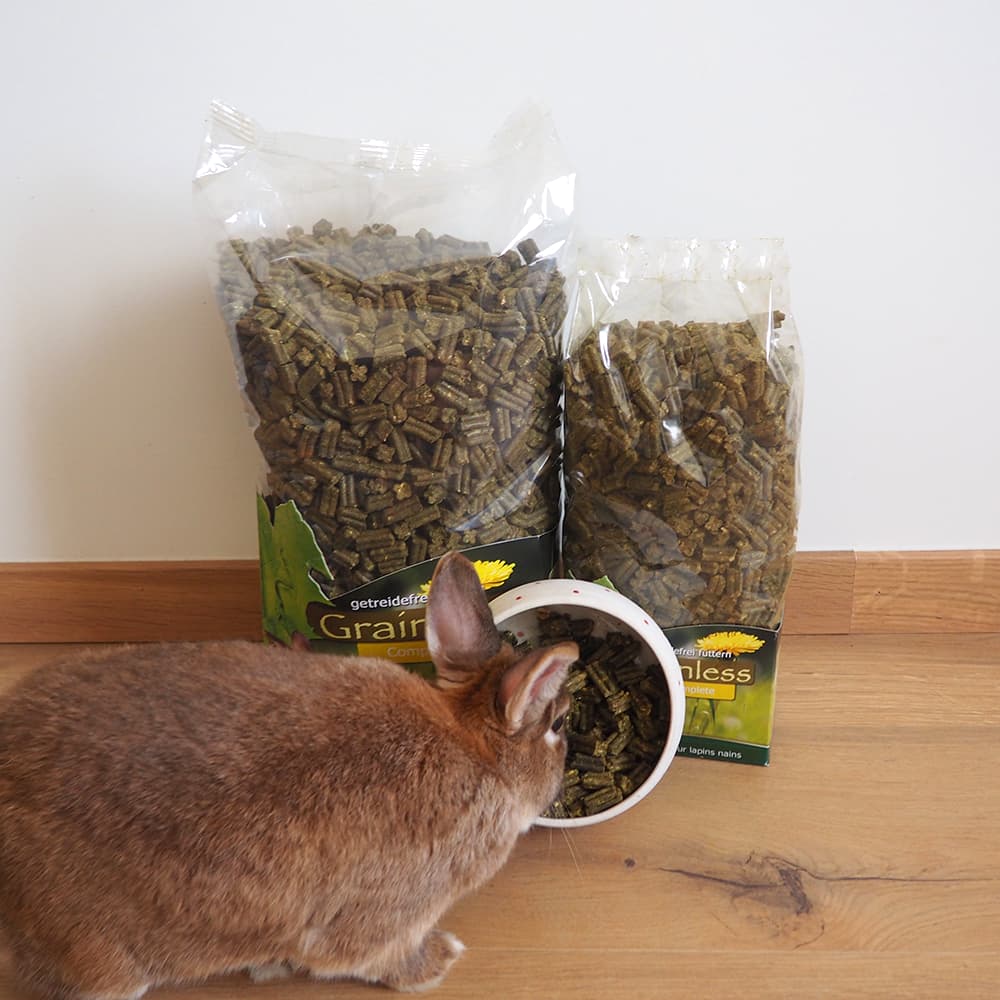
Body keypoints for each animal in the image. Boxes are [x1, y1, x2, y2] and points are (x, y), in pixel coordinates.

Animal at [0, 552, 578, 999]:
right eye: (559, 725)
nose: (564, 769)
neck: (475, 751)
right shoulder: (395, 913)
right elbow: (372, 957)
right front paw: (439, 959)